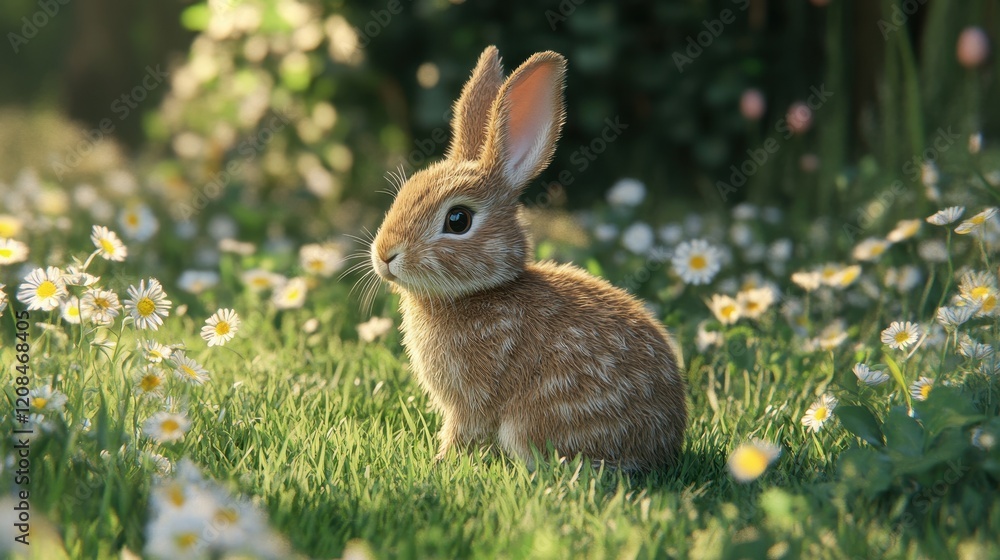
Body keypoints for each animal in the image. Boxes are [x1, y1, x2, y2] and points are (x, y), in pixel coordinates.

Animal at [369, 46, 687, 471]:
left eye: (458, 220)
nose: (385, 255)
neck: (479, 292)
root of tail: (664, 445)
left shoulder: (473, 399)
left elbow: (463, 430)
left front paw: (441, 462)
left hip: (535, 422)